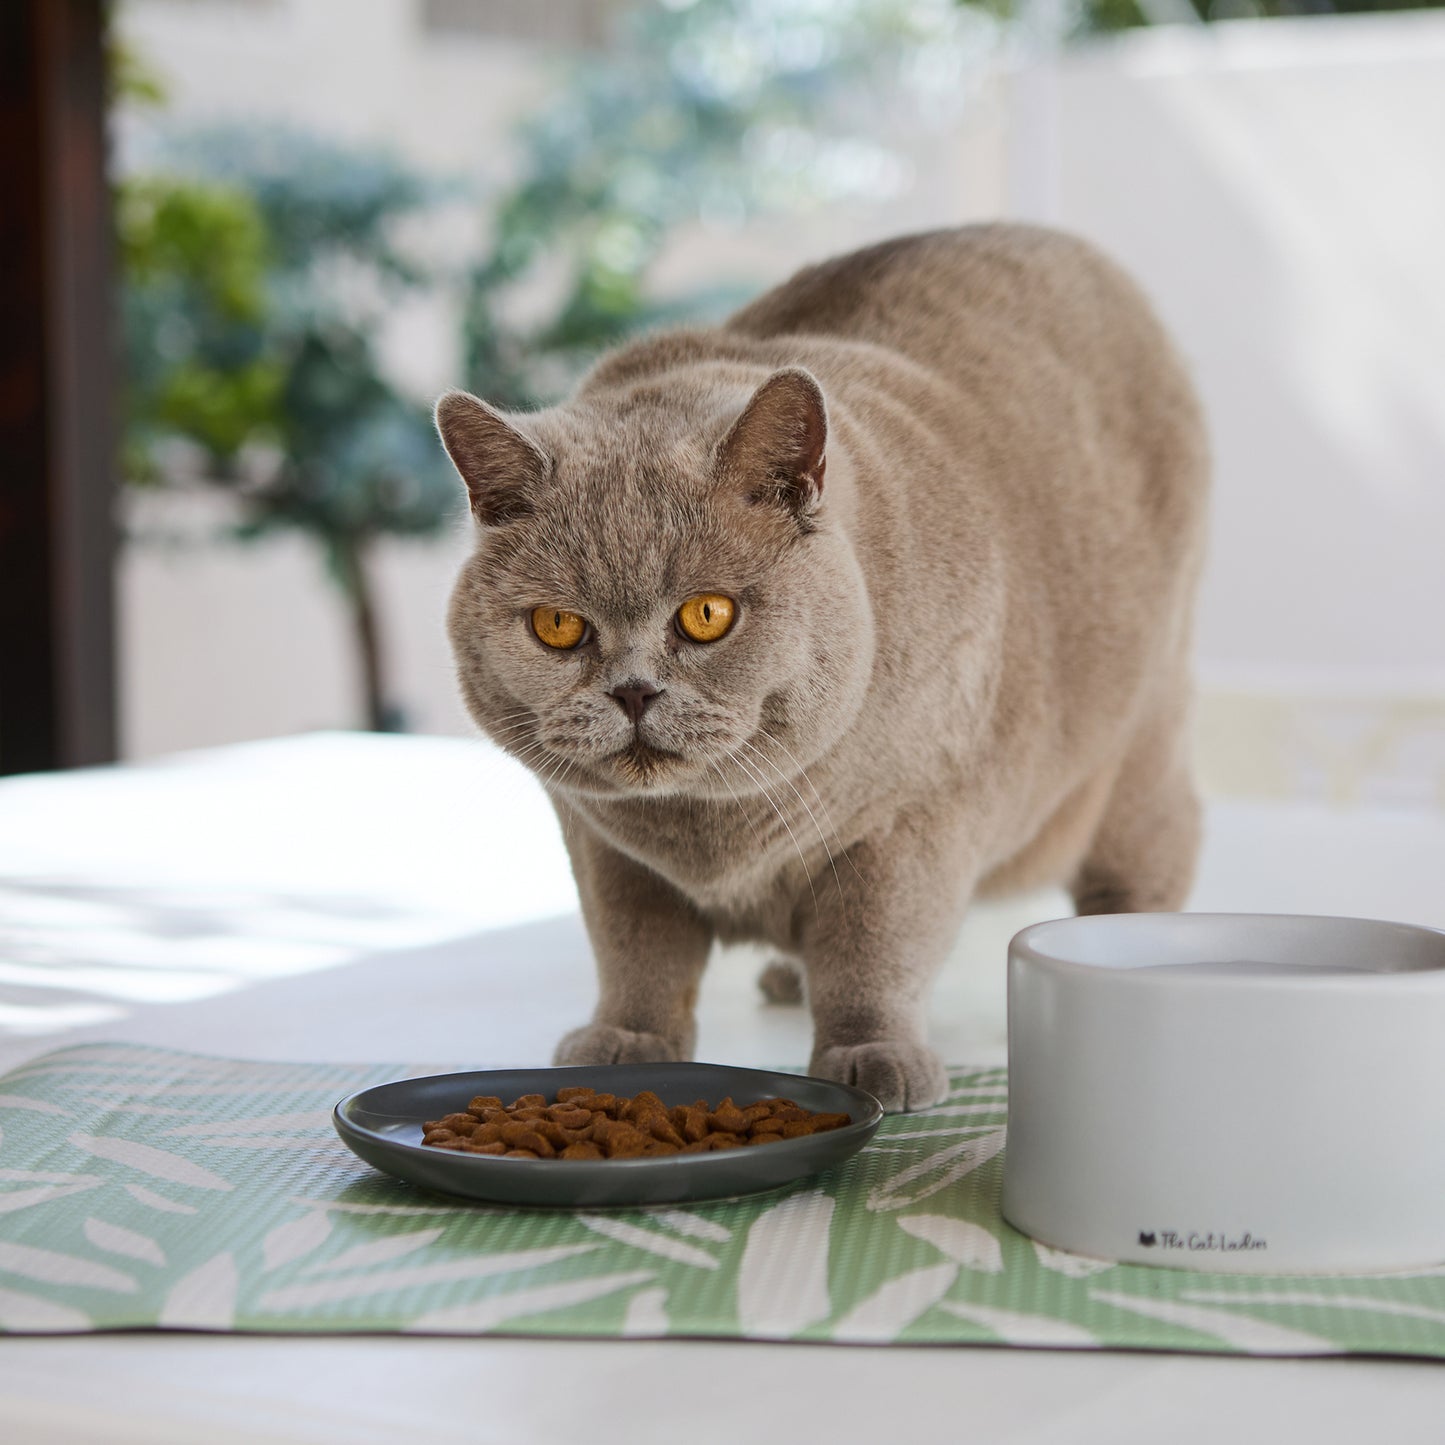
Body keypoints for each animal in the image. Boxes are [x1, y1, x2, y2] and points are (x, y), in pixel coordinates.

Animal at [439, 225, 1208, 1109]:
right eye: (559, 626)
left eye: (707, 615)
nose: (633, 690)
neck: (712, 829)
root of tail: (1070, 246)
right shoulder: (602, 845)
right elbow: (636, 953)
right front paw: (624, 1044)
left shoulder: (910, 822)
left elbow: (871, 953)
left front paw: (872, 1057)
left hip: (1138, 751)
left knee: (1152, 852)